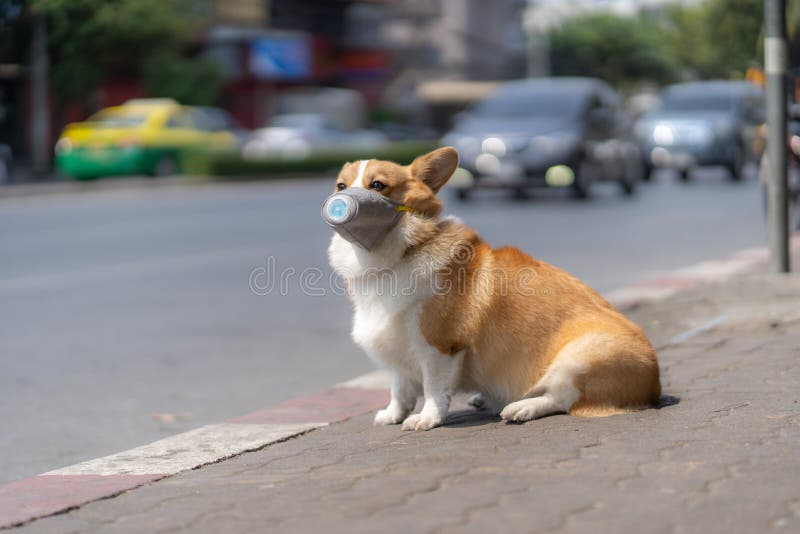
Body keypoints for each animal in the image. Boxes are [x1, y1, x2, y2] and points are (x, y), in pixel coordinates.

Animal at [328, 147, 660, 432]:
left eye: (378, 185)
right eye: (340, 185)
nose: (341, 199)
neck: (404, 251)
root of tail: (653, 386)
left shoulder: (438, 347)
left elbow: (434, 388)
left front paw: (426, 419)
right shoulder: (394, 343)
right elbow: (399, 389)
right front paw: (392, 415)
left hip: (578, 357)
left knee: (561, 398)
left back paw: (522, 408)